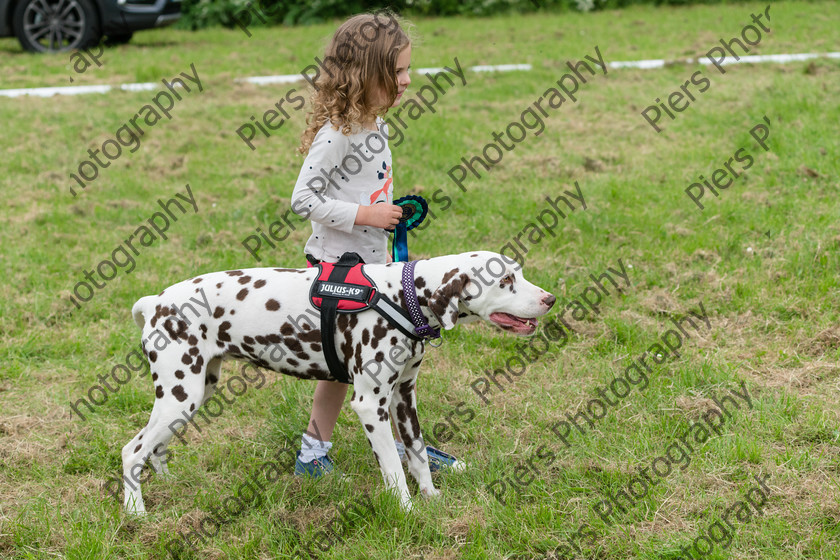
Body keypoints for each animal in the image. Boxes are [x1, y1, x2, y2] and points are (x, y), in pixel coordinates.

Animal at [123, 252, 556, 516]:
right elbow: (394, 470)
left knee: (154, 449)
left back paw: (169, 483)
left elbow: (417, 456)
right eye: (505, 279)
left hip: (192, 395)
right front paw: (408, 512)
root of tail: (155, 302)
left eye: (519, 273)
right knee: (132, 452)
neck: (402, 295)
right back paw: (135, 512)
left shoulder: (404, 398)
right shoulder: (371, 405)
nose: (550, 299)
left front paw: (431, 499)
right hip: (181, 398)